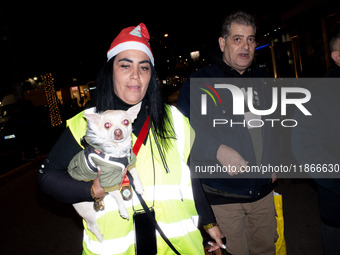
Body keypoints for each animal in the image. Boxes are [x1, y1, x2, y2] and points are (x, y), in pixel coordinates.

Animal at [67, 101, 143, 241]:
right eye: (107, 125)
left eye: (126, 122)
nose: (118, 132)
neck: (118, 151)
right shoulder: (107, 180)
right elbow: (118, 195)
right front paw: (123, 211)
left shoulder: (130, 161)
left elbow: (134, 172)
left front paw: (139, 186)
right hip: (87, 210)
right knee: (91, 226)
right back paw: (100, 239)